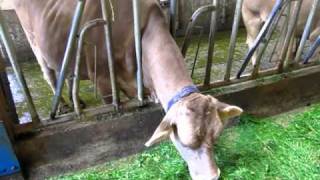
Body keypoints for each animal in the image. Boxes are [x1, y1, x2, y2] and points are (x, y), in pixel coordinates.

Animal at [12, 0, 242, 179]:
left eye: (216, 135)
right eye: (185, 142)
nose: (213, 176)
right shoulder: (103, 79)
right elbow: (112, 105)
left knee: (67, 72)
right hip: (34, 42)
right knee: (50, 74)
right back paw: (65, 107)